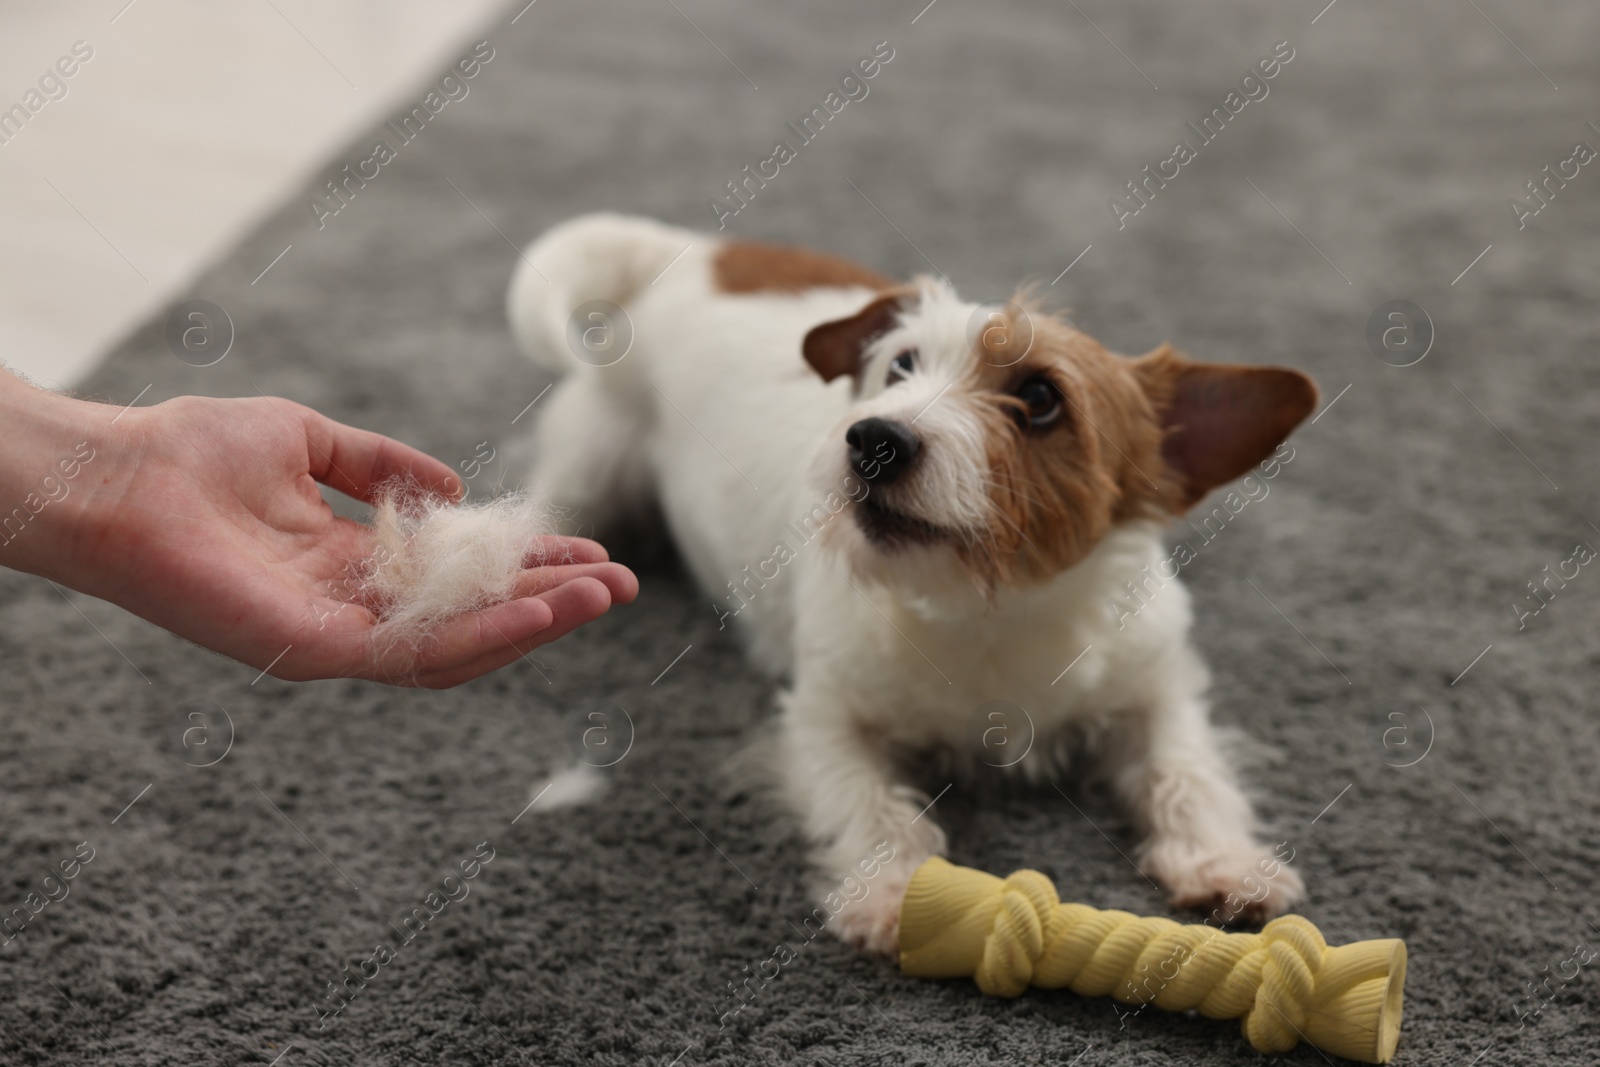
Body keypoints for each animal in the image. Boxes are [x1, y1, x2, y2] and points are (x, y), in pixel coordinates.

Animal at [505, 214, 1318, 959]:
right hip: (585, 478)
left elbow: (1187, 770)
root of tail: (704, 249)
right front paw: (896, 889)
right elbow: (869, 801)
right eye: (900, 367)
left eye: (1040, 398)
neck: (989, 611)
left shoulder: (1157, 691)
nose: (873, 439)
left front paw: (1223, 860)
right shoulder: (825, 718)